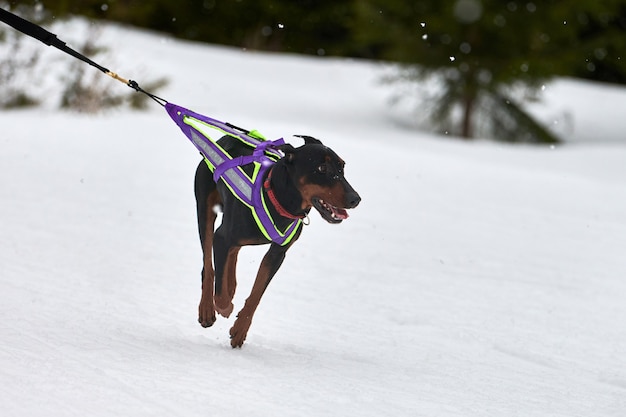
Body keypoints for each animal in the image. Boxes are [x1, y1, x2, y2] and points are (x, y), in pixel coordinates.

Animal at [193, 135, 358, 346]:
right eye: (321, 168)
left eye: (342, 167)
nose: (355, 198)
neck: (276, 199)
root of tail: (224, 138)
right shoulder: (221, 237)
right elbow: (220, 295)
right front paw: (225, 307)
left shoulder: (277, 254)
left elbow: (257, 293)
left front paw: (240, 329)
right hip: (205, 209)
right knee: (208, 265)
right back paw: (207, 308)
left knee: (233, 252)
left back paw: (231, 284)